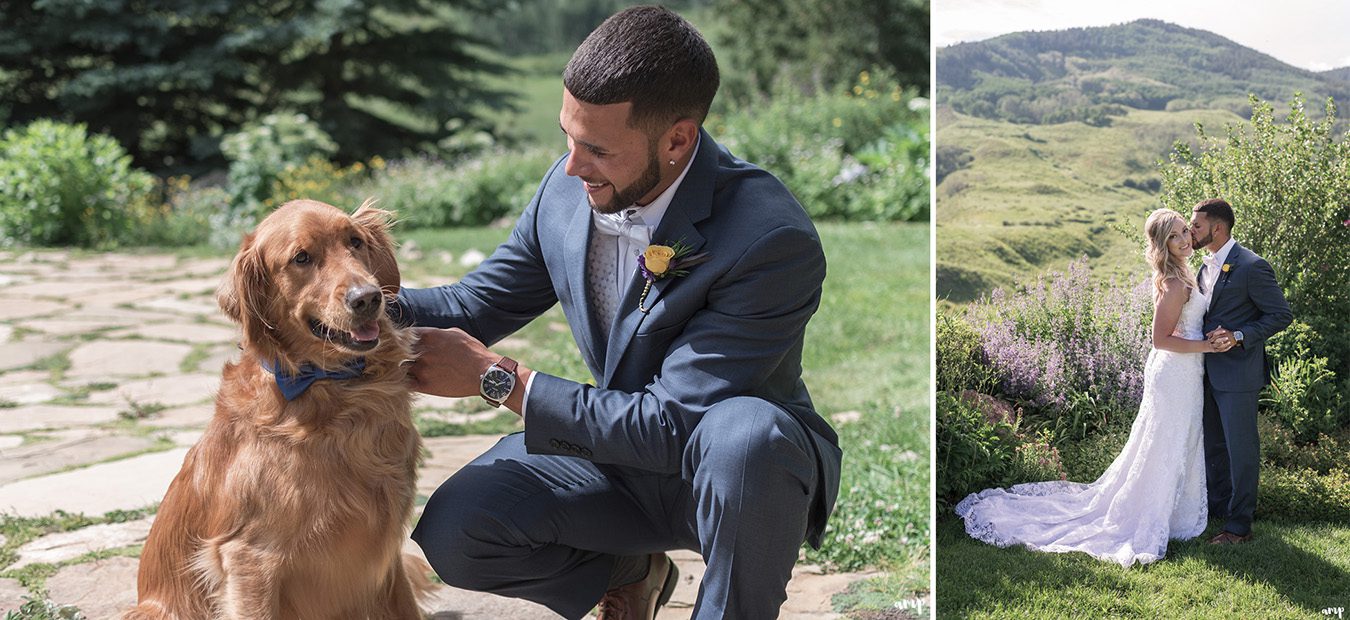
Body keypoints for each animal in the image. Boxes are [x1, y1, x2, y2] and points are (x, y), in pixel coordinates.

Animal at [126, 199, 423, 620]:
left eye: (355, 241)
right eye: (301, 258)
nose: (367, 298)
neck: (335, 391)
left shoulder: (384, 555)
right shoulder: (250, 558)